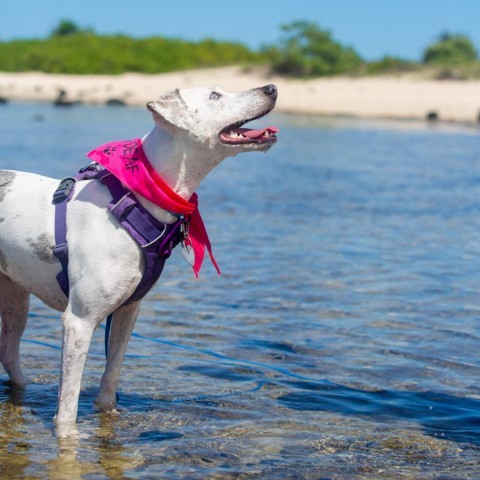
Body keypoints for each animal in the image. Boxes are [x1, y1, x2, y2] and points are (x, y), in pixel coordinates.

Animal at [0, 84, 278, 434]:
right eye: (215, 95)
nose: (271, 88)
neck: (139, 196)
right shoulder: (78, 321)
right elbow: (68, 401)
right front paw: (68, 437)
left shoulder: (128, 310)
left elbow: (112, 371)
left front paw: (108, 414)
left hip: (14, 297)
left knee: (9, 352)